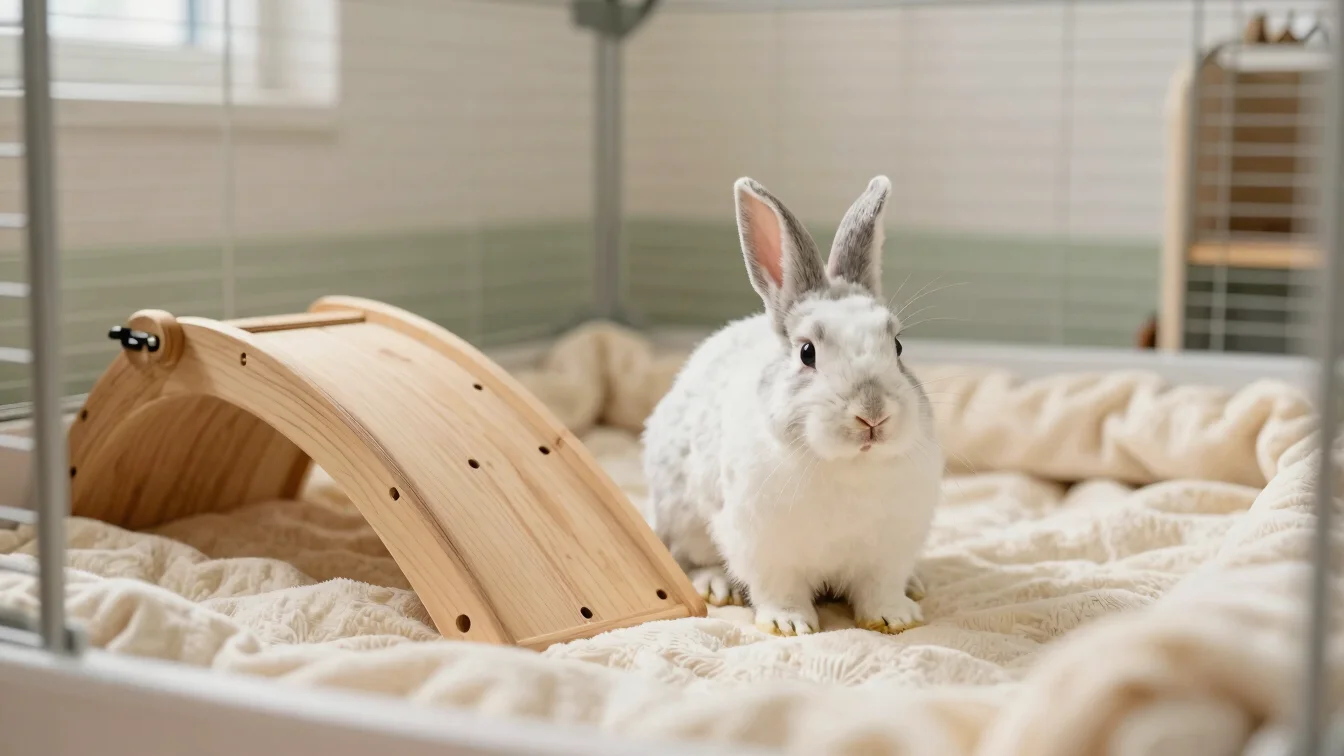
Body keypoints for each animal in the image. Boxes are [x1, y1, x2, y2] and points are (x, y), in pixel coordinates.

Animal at [640, 175, 942, 636]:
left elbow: (880, 588)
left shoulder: (888, 551)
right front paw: (790, 625)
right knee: (692, 559)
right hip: (682, 518)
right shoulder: (764, 548)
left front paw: (896, 617)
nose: (872, 414)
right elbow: (779, 589)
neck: (849, 465)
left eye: (897, 346)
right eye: (806, 352)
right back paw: (715, 586)